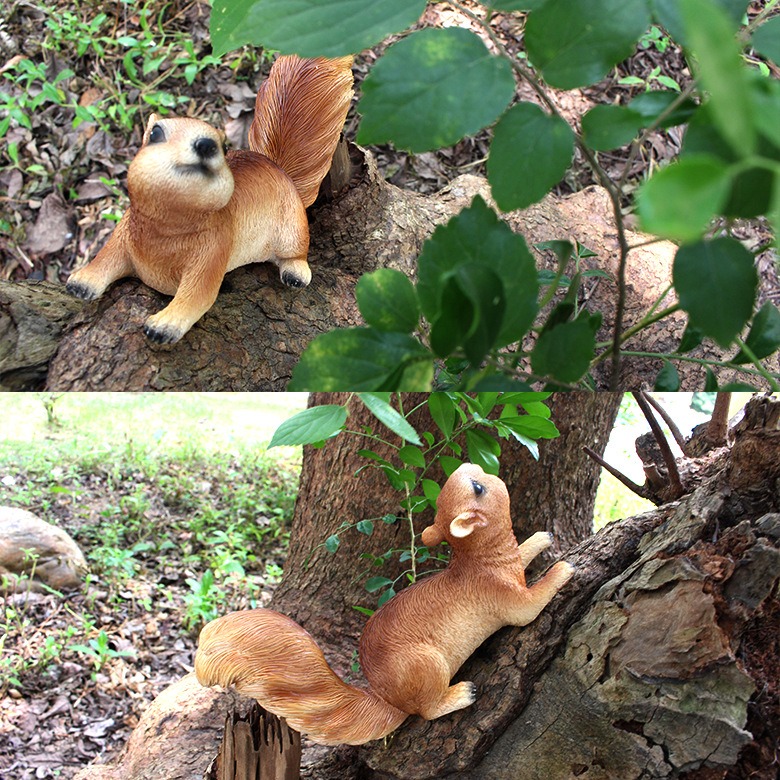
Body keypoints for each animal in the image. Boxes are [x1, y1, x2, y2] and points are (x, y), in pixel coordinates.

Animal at [65, 55, 354, 344]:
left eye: (224, 146)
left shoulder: (212, 252)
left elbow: (197, 295)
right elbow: (105, 258)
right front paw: (81, 283)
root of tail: (280, 170)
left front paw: (163, 325)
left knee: (296, 254)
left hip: (292, 227)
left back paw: (296, 273)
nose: (206, 144)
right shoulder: (123, 233)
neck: (167, 226)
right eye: (155, 133)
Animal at [194, 463, 575, 746]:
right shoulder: (513, 601)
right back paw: (460, 694)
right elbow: (536, 598)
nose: (469, 464)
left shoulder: (512, 566)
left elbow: (524, 552)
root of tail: (385, 699)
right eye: (478, 488)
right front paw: (564, 568)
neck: (482, 560)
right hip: (427, 664)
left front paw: (541, 537)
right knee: (425, 710)